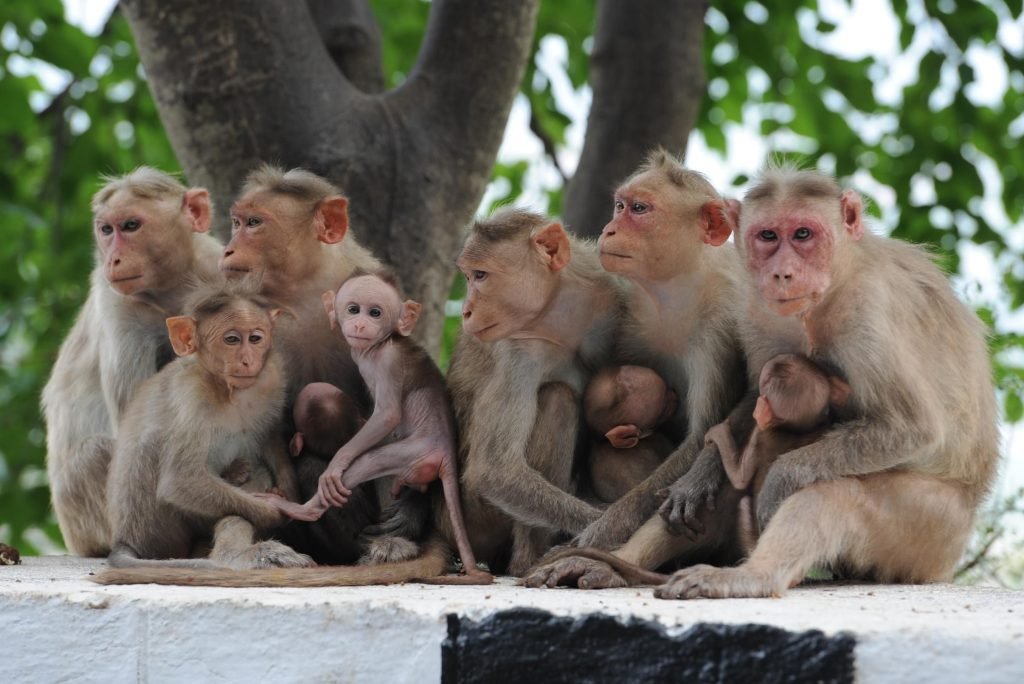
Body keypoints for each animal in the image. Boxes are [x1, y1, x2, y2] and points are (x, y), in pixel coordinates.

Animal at [42, 167, 222, 557]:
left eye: (130, 225)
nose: (113, 259)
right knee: (97, 452)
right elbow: (135, 421)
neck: (174, 292)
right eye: (106, 230)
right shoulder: (119, 307)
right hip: (89, 522)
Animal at [102, 281, 313, 571]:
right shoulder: (192, 397)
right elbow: (181, 481)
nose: (247, 360)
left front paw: (290, 491)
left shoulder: (272, 378)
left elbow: (269, 437)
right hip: (160, 528)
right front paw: (276, 511)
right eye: (231, 339)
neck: (228, 391)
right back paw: (239, 554)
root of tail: (124, 538)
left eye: (255, 338)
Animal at [257, 271, 491, 582]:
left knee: (371, 460)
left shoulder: (387, 364)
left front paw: (336, 465)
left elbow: (387, 415)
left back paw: (304, 508)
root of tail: (446, 453)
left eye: (375, 313)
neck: (378, 346)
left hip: (415, 452)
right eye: (353, 309)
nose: (359, 323)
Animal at [444, 207, 627, 575]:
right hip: (476, 520)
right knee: (558, 398)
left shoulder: (610, 297)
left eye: (480, 275)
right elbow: (494, 470)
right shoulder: (516, 351)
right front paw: (607, 526)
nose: (467, 310)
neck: (558, 316)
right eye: (468, 277)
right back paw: (527, 561)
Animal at [649, 167, 1000, 599]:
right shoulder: (755, 307)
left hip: (934, 530)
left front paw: (781, 480)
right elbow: (757, 397)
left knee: (835, 494)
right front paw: (701, 473)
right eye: (768, 236)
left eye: (803, 234)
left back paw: (751, 576)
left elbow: (912, 427)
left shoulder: (869, 311)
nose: (783, 273)